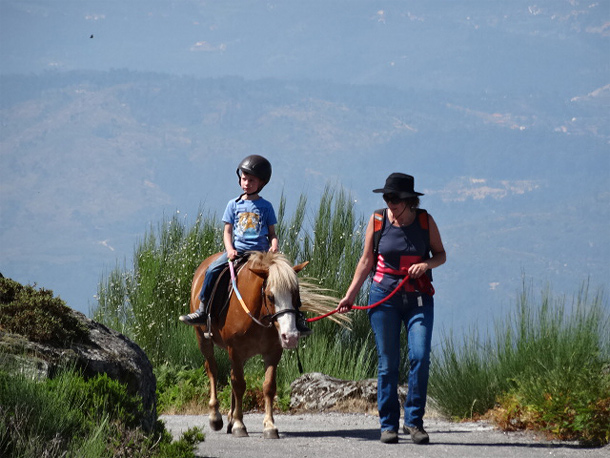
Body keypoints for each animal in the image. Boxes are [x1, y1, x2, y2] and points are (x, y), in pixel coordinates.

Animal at [190, 252, 344, 438]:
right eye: (270, 296)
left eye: (296, 296)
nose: (290, 337)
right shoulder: (235, 350)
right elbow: (239, 385)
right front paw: (239, 425)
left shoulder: (272, 352)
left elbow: (268, 386)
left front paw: (269, 425)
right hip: (203, 339)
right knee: (212, 370)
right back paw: (216, 417)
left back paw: (230, 420)